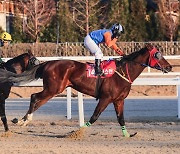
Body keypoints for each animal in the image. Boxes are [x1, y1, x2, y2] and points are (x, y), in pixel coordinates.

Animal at [0, 43, 172, 137]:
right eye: (158, 55)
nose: (170, 67)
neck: (122, 72)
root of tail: (47, 63)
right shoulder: (105, 98)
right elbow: (94, 117)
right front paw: (76, 133)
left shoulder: (118, 100)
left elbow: (121, 119)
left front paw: (128, 135)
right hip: (53, 89)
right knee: (35, 97)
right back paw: (23, 120)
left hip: (53, 89)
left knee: (36, 99)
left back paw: (22, 120)